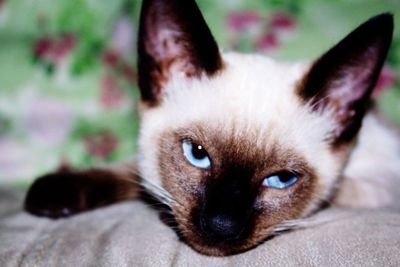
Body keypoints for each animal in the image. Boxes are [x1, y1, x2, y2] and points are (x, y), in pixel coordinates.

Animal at [25, 0, 400, 258]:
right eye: (197, 155)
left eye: (281, 179)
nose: (222, 226)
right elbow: (137, 173)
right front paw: (53, 195)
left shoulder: (377, 185)